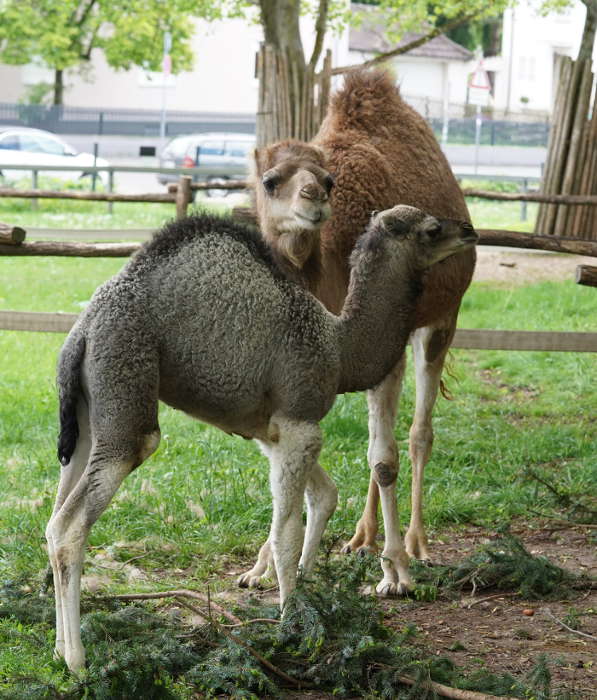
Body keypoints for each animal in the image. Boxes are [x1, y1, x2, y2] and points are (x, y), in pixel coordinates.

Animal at [242, 69, 474, 596]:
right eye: (270, 180)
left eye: (327, 180)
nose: (313, 198)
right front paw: (259, 567)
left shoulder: (383, 341)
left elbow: (384, 456)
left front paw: (397, 572)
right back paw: (361, 537)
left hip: (440, 322)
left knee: (416, 435)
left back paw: (414, 543)